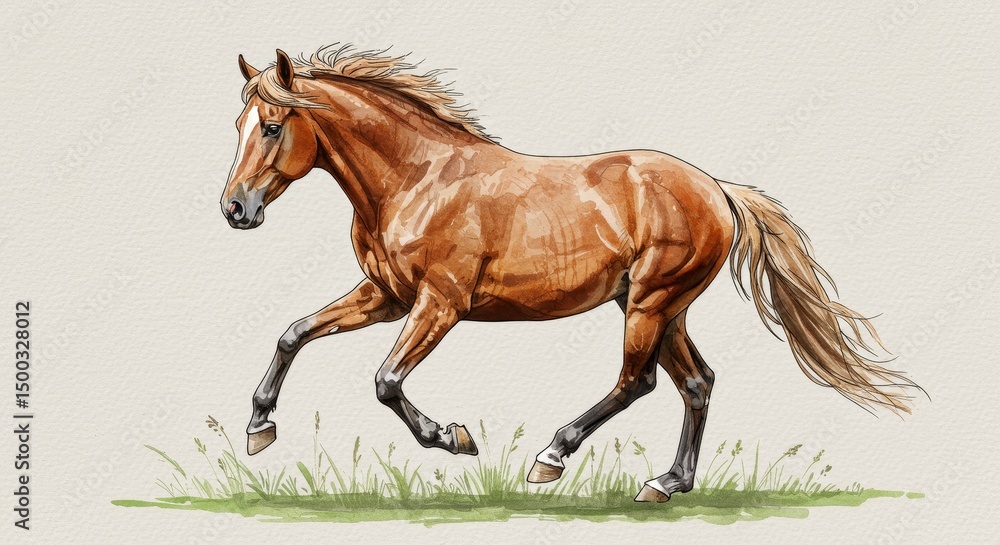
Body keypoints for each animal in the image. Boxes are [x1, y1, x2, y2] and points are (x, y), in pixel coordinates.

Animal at [220, 45, 921, 502]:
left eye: (274, 126)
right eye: (238, 124)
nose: (235, 209)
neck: (416, 176)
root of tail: (718, 190)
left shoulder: (439, 304)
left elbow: (386, 381)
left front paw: (455, 438)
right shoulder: (386, 296)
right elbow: (293, 332)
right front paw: (259, 428)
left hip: (649, 303)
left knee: (638, 381)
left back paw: (552, 457)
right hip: (662, 308)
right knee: (696, 383)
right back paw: (667, 483)